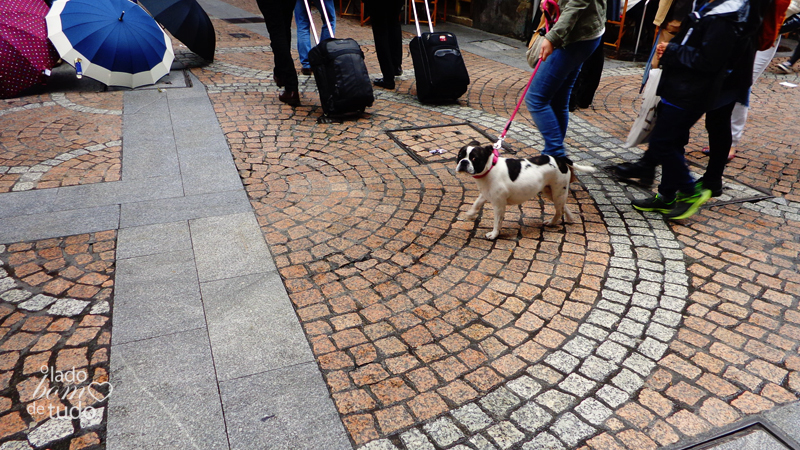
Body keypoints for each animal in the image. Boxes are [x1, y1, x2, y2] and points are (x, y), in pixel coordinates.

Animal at [456, 140, 592, 239]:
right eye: (460, 155)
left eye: (475, 158)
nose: (463, 162)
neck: (490, 168)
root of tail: (560, 159)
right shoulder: (485, 194)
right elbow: (476, 203)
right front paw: (469, 214)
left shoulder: (499, 205)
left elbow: (497, 221)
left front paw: (494, 235)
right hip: (551, 192)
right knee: (563, 206)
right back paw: (570, 218)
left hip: (557, 192)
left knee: (559, 211)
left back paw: (552, 222)